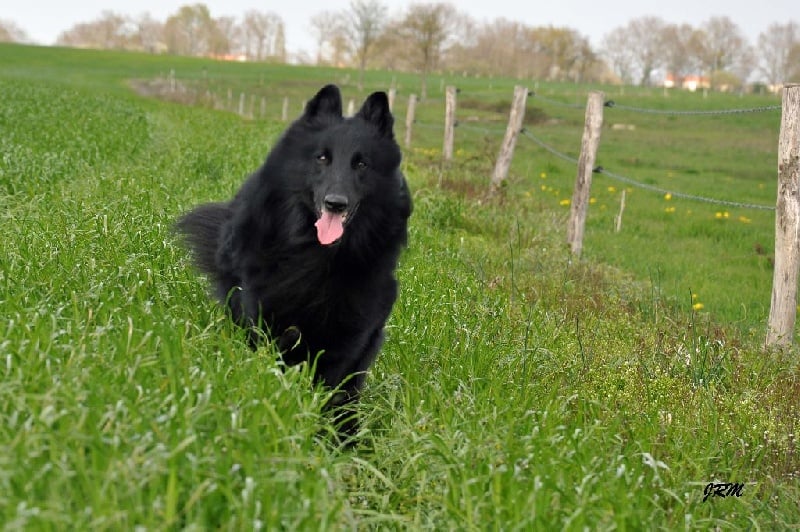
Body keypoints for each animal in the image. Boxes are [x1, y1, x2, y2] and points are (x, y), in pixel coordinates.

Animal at [176, 85, 412, 436]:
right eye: (322, 158)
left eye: (361, 164)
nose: (336, 203)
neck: (315, 256)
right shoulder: (263, 312)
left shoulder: (350, 333)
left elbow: (332, 388)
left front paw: (333, 435)